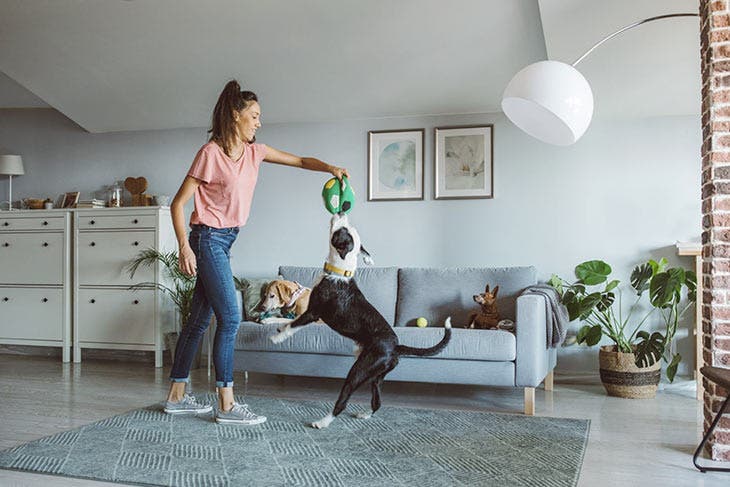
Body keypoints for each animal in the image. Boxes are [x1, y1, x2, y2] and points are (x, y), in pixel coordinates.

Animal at [268, 212, 450, 428]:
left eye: (342, 230)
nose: (341, 212)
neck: (339, 273)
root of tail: (396, 347)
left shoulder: (313, 313)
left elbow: (292, 325)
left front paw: (277, 338)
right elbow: (286, 322)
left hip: (359, 370)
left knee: (343, 401)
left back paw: (322, 422)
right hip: (376, 377)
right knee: (377, 401)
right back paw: (364, 415)